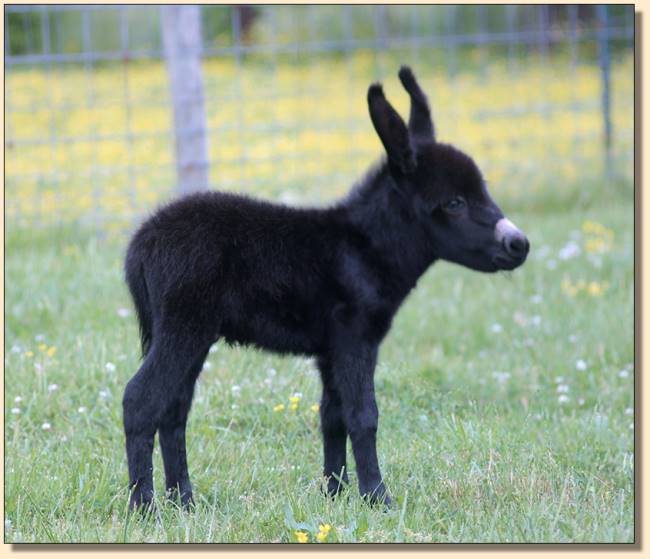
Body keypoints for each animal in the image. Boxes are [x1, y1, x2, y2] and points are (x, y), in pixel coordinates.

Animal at [121, 66, 528, 512]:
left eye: (482, 189)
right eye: (454, 203)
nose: (519, 245)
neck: (364, 247)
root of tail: (141, 243)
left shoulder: (330, 350)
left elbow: (332, 418)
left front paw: (335, 491)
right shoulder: (355, 339)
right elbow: (363, 416)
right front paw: (377, 496)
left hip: (190, 333)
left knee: (173, 410)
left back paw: (184, 502)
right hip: (183, 326)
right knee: (140, 401)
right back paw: (144, 508)